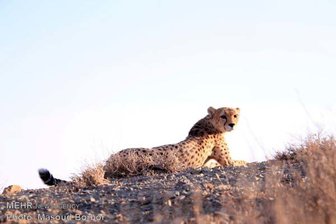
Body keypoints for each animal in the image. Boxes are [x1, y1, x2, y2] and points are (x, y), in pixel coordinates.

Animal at [39, 107, 245, 186]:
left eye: (235, 115)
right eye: (223, 115)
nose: (232, 124)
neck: (208, 122)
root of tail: (109, 160)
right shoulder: (227, 160)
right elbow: (239, 162)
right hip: (143, 156)